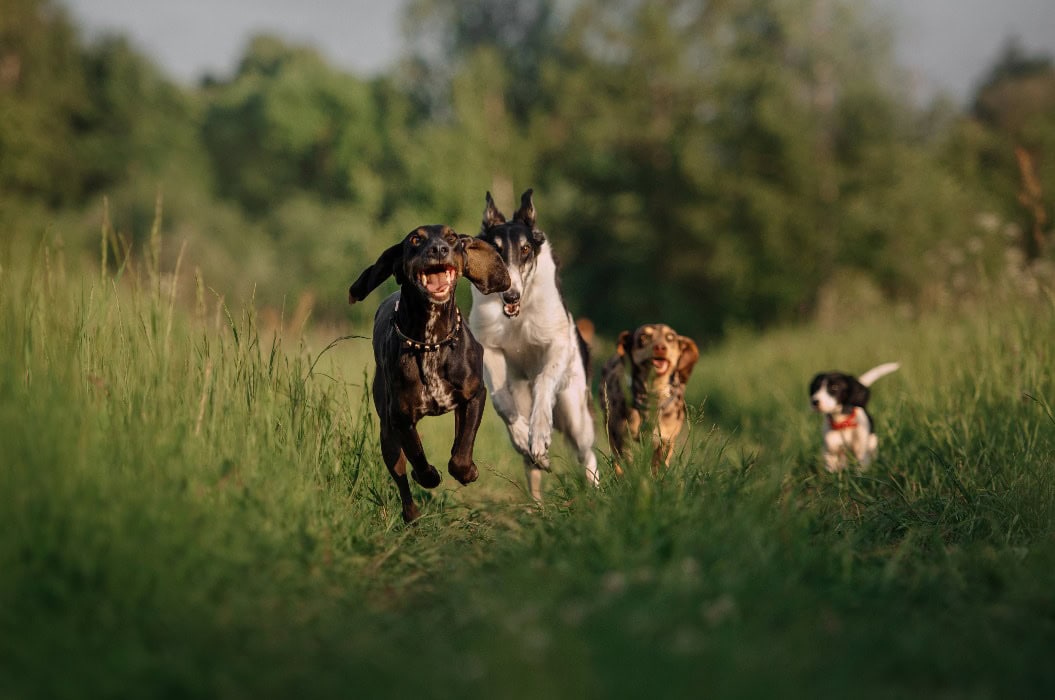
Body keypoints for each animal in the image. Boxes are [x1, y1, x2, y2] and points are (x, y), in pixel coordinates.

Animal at [348, 224, 508, 518]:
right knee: (400, 477)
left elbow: (462, 448)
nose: (438, 249)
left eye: (452, 238)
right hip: (387, 434)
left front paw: (467, 471)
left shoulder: (474, 395)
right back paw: (411, 515)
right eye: (415, 239)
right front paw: (429, 476)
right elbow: (417, 455)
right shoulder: (400, 417)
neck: (431, 341)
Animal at [468, 188, 599, 499]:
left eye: (525, 249)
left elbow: (544, 380)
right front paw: (522, 438)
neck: (518, 313)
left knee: (587, 453)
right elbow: (502, 402)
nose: (511, 295)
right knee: (533, 469)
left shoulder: (557, 342)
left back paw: (596, 490)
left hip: (575, 410)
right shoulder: (489, 346)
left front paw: (539, 435)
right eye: (497, 251)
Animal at [603, 324, 700, 472]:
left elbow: (658, 464)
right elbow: (626, 463)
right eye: (644, 336)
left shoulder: (665, 439)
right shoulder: (621, 437)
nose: (660, 347)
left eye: (670, 337)